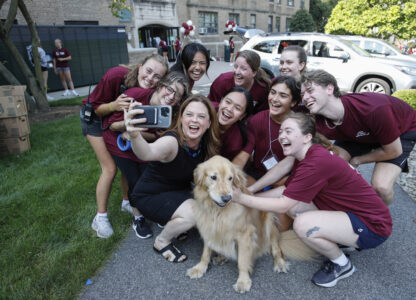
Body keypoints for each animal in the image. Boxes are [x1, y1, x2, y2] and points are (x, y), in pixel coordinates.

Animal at [187, 156, 316, 294]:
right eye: (213, 177)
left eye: (230, 178)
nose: (227, 198)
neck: (218, 211)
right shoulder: (207, 227)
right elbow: (205, 253)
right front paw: (200, 268)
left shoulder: (245, 234)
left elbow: (242, 260)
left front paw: (243, 281)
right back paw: (222, 257)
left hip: (269, 220)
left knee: (276, 247)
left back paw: (280, 263)